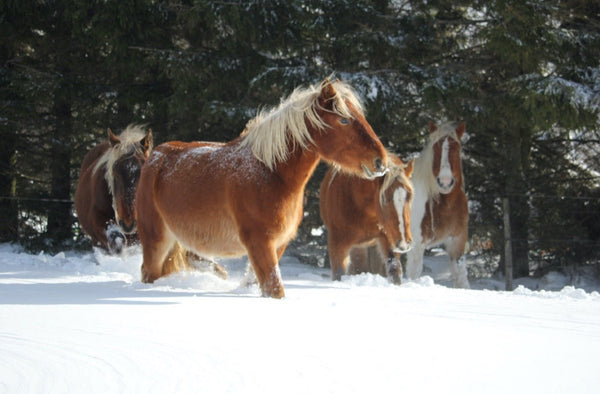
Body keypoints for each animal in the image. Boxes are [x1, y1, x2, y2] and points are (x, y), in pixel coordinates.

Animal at [135, 78, 390, 298]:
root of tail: (155, 156)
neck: (270, 172)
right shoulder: (259, 241)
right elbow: (275, 289)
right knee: (148, 272)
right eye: (344, 120)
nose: (380, 161)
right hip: (156, 240)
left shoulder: (277, 244)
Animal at [322, 153, 414, 284]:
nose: (404, 243)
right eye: (384, 198)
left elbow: (394, 271)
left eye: (409, 196)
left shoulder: (388, 240)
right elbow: (338, 274)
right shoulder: (337, 244)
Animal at [406, 121, 472, 288]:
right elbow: (413, 274)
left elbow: (460, 278)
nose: (445, 182)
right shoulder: (416, 245)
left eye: (456, 148)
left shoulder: (457, 240)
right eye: (436, 148)